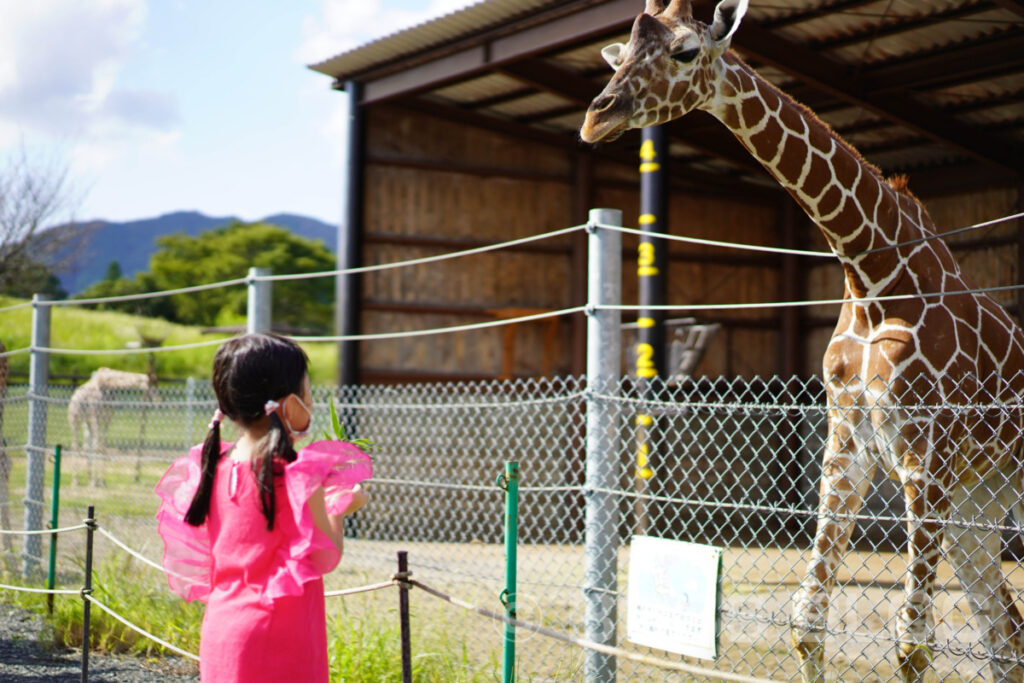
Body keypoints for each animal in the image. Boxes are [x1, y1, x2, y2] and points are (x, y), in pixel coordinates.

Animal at [581, 2, 1024, 679]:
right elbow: (808, 616)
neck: (872, 275)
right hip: (981, 505)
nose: (595, 117)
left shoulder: (926, 455)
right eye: (621, 54)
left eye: (685, 52)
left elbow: (913, 640)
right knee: (1005, 632)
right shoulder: (849, 443)